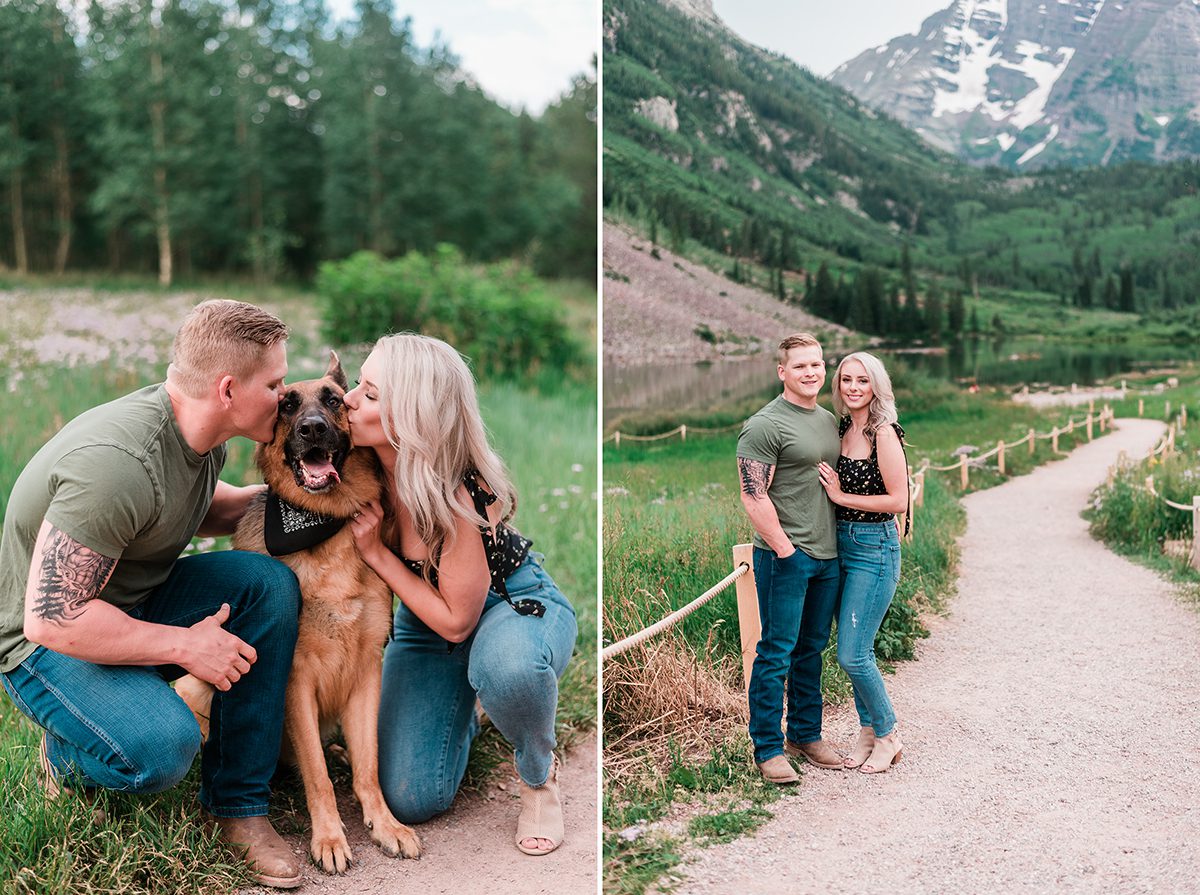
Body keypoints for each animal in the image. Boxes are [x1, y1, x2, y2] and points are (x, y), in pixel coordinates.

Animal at [175, 350, 422, 873]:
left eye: (334, 401)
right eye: (286, 405)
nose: (312, 428)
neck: (325, 527)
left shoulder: (368, 672)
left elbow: (369, 766)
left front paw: (385, 824)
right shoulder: (296, 678)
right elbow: (317, 775)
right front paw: (329, 838)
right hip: (194, 689)